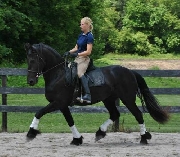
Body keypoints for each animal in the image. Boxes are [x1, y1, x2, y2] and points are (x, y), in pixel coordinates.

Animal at [24, 42, 169, 145]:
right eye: (28, 60)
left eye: (34, 60)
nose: (30, 81)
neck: (58, 75)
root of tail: (130, 72)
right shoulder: (63, 105)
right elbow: (70, 121)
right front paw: (77, 139)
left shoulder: (58, 102)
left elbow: (39, 112)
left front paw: (31, 133)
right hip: (108, 99)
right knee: (115, 114)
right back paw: (100, 133)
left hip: (127, 99)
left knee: (138, 114)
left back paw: (144, 138)